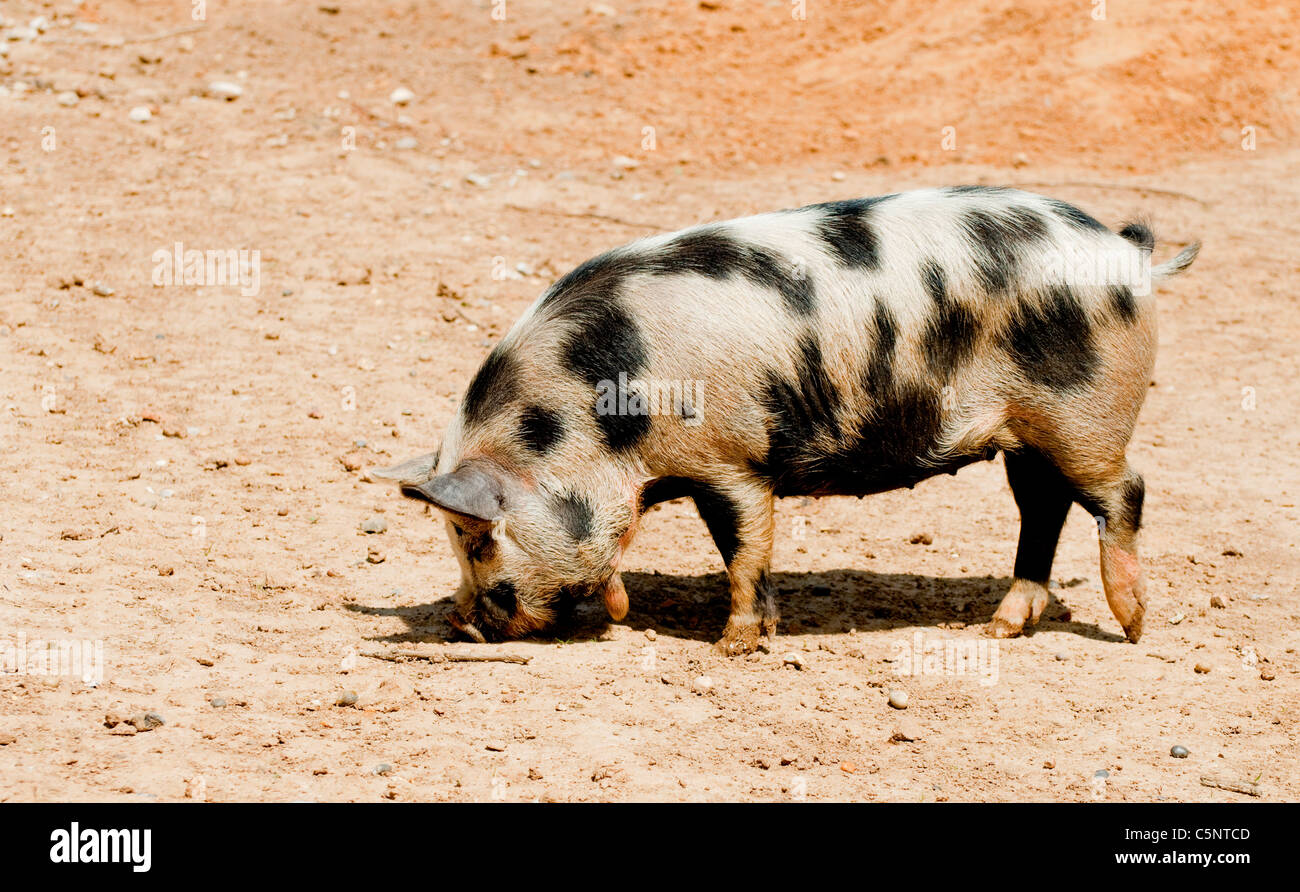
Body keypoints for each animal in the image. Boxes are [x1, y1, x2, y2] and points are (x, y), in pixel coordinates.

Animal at [369, 187, 1196, 657]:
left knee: (1125, 491)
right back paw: (1000, 628)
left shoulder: (734, 458)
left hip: (1085, 415)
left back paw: (1131, 628)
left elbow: (745, 550)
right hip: (1026, 434)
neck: (600, 420)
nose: (461, 623)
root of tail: (1128, 252)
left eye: (478, 538)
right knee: (1043, 508)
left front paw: (732, 648)